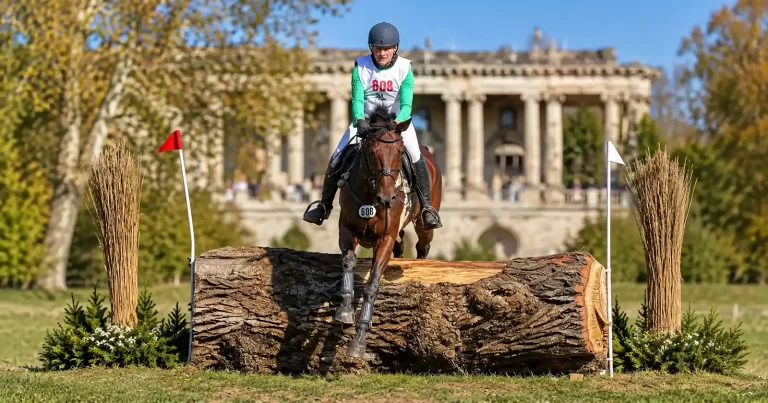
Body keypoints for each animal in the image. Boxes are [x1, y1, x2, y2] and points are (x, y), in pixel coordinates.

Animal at [331, 103, 443, 358]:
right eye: (372, 152)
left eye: (400, 152)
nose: (388, 198)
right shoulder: (346, 229)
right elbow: (347, 263)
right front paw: (344, 310)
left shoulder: (385, 238)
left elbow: (373, 283)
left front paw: (360, 339)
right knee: (403, 244)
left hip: (424, 225)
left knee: (423, 246)